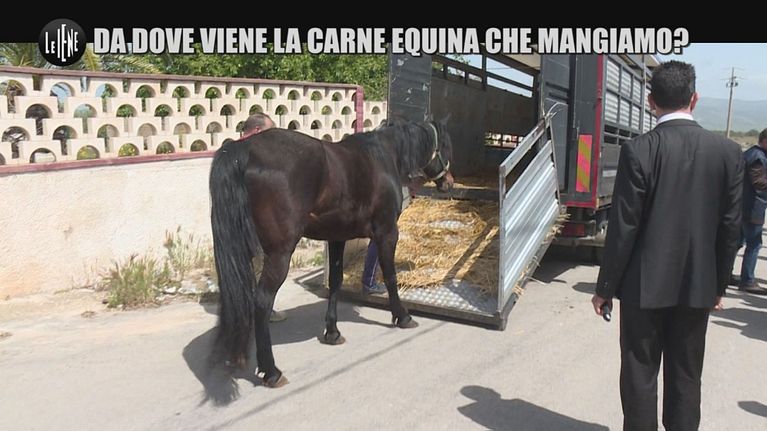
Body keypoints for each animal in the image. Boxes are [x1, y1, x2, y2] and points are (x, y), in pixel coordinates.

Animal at [208, 118, 454, 387]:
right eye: (445, 145)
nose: (449, 182)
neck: (383, 155)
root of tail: (244, 150)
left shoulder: (337, 237)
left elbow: (335, 281)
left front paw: (333, 332)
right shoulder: (387, 231)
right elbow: (390, 275)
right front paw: (402, 316)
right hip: (279, 253)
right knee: (261, 301)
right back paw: (271, 371)